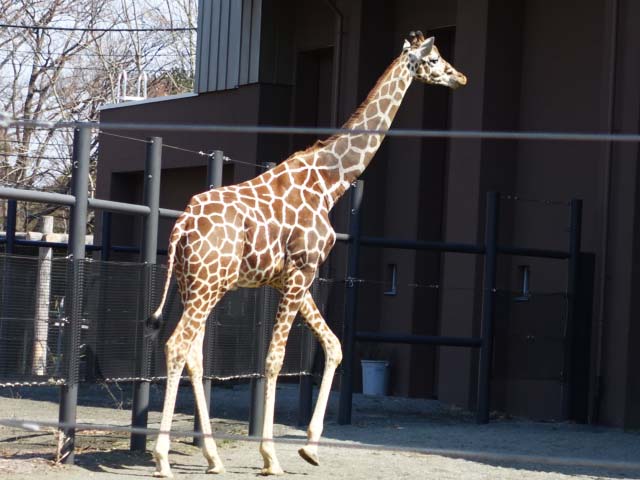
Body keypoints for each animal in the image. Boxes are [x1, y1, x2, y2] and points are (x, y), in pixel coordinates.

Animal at [149, 31, 464, 476]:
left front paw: (311, 448)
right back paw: (162, 458)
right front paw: (270, 456)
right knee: (178, 346)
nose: (460, 77)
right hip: (207, 285)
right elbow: (275, 360)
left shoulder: (295, 277)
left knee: (193, 352)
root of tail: (181, 227)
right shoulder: (301, 271)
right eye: (434, 58)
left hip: (197, 285)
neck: (331, 182)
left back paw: (213, 457)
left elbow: (333, 346)